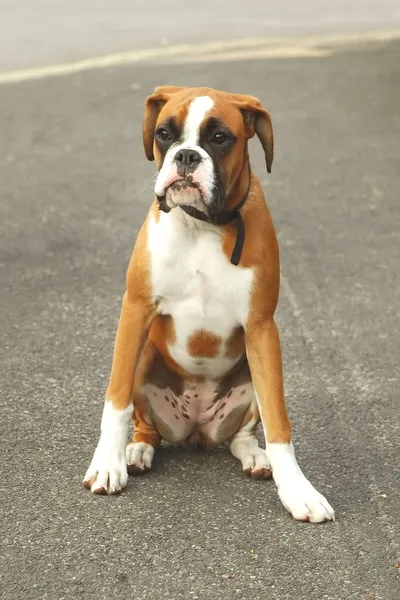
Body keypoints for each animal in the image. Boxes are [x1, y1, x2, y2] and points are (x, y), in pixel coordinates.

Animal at [83, 86, 334, 524]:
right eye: (164, 133)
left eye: (219, 138)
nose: (186, 156)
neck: (202, 224)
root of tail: (196, 430)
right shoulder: (136, 309)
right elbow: (116, 401)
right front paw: (106, 464)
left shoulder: (262, 328)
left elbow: (279, 421)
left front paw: (298, 490)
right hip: (147, 354)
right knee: (146, 426)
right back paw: (135, 450)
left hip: (251, 367)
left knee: (242, 435)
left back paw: (256, 457)